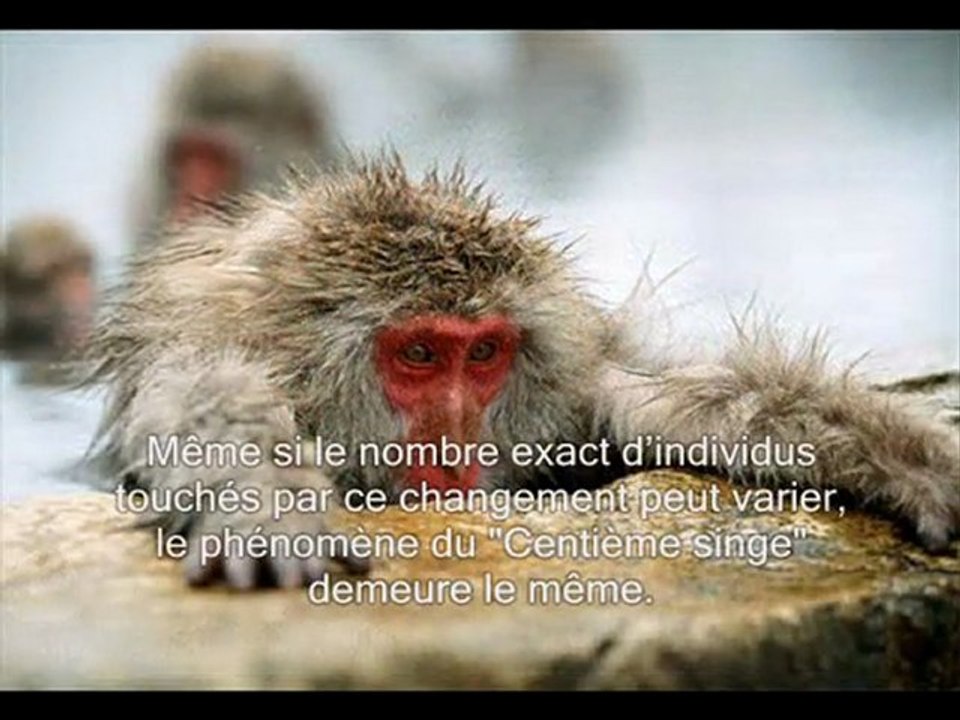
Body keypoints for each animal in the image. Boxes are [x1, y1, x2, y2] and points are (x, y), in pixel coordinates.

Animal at [83, 154, 960, 591]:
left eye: (482, 354)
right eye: (420, 354)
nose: (456, 437)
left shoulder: (570, 398)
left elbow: (705, 401)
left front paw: (912, 463)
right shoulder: (195, 349)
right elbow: (208, 404)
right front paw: (261, 505)